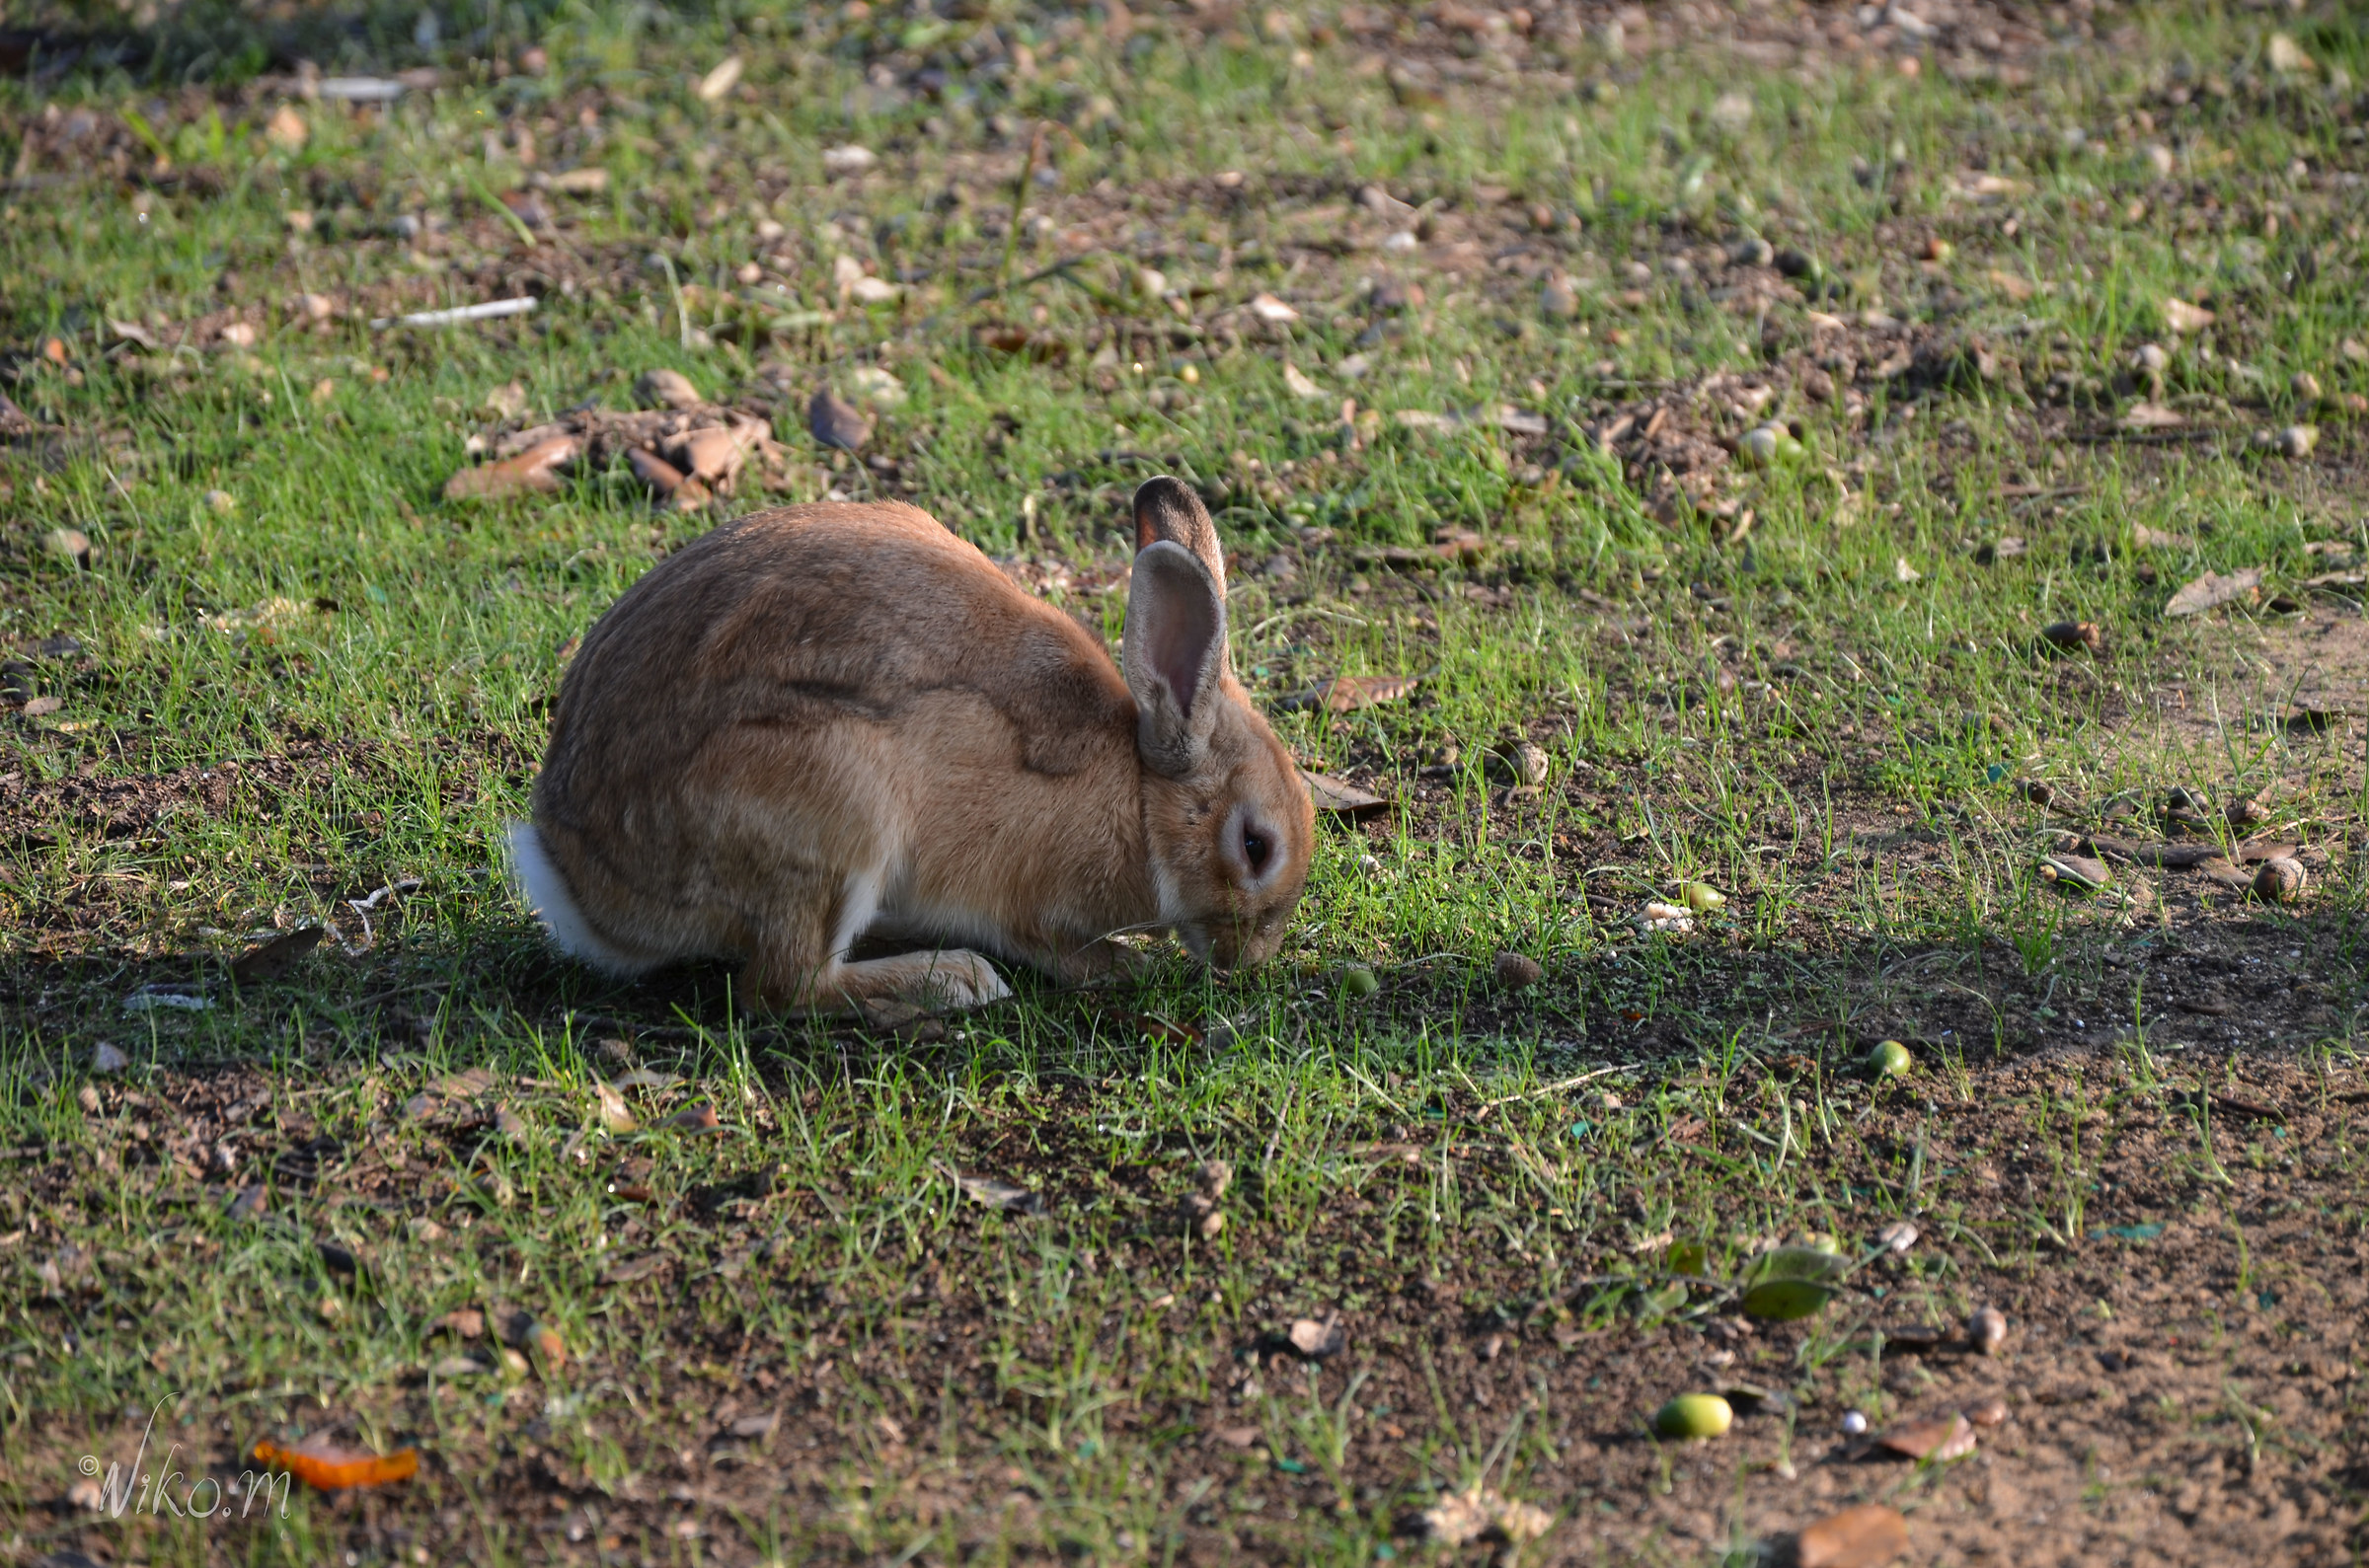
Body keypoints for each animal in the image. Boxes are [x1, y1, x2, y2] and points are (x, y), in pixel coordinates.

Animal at [507, 475, 1315, 1014]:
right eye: (1256, 847)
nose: (1251, 960)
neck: (1139, 799)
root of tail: (592, 891)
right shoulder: (1020, 888)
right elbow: (1050, 944)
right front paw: (1122, 967)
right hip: (839, 803)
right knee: (785, 988)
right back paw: (953, 980)